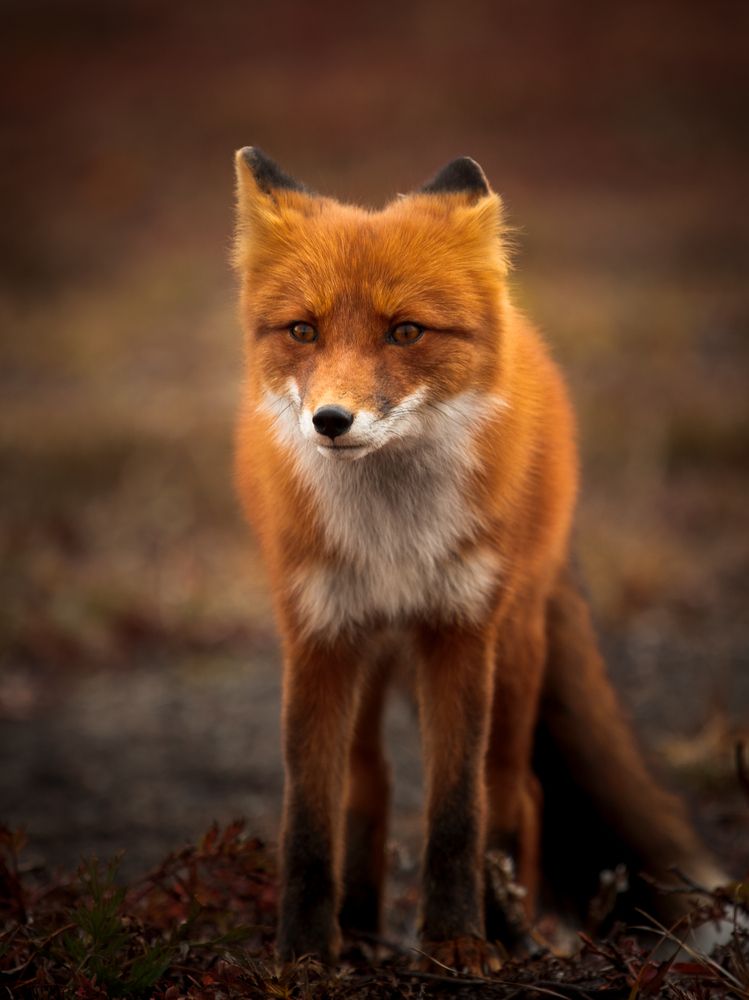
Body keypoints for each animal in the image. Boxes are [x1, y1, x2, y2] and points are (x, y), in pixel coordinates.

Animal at [232, 147, 726, 971]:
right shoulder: (318, 633)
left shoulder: (460, 629)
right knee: (368, 785)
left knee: (516, 791)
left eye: (405, 332)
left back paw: (512, 931)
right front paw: (304, 953)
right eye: (302, 330)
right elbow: (308, 816)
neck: (393, 537)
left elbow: (458, 811)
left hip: (517, 644)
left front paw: (458, 942)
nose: (330, 420)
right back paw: (359, 928)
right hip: (372, 653)